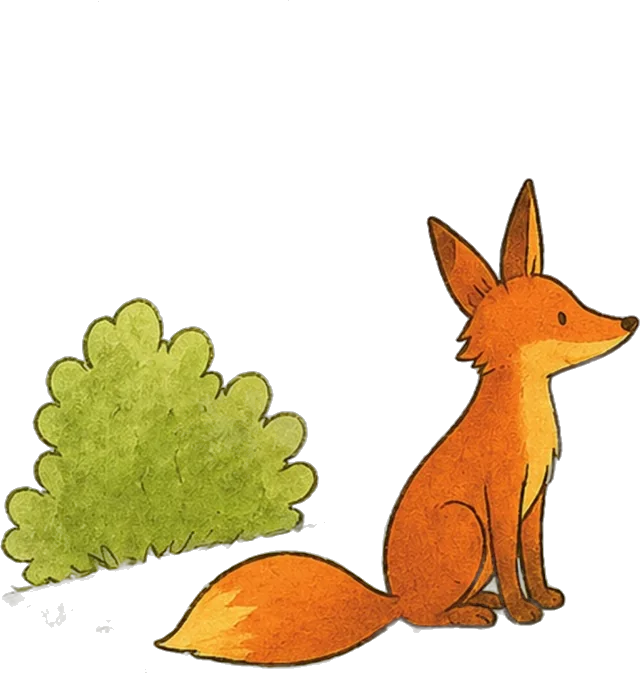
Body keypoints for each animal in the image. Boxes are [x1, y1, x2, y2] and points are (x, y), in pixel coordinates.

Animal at [154, 180, 638, 666]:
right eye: (561, 317)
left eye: (571, 303)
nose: (628, 322)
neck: (527, 418)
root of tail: (395, 597)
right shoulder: (501, 499)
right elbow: (510, 559)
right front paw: (522, 611)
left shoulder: (534, 498)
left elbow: (533, 557)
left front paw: (543, 598)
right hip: (466, 526)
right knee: (425, 615)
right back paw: (473, 613)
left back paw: (483, 602)